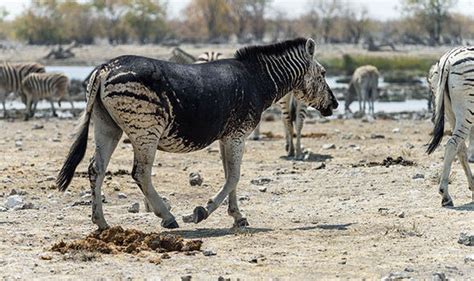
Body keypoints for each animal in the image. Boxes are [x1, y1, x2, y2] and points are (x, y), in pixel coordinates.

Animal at [55, 37, 336, 230]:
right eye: (323, 73)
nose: (334, 104)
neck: (257, 80)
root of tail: (104, 68)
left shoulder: (227, 136)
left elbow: (229, 175)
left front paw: (237, 216)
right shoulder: (238, 134)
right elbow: (234, 176)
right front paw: (202, 212)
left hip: (108, 126)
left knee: (96, 169)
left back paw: (101, 222)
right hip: (146, 130)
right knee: (140, 173)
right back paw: (167, 217)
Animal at [426, 46, 474, 206]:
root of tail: (448, 60)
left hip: (450, 111)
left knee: (460, 148)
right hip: (466, 110)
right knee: (453, 144)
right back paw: (445, 195)